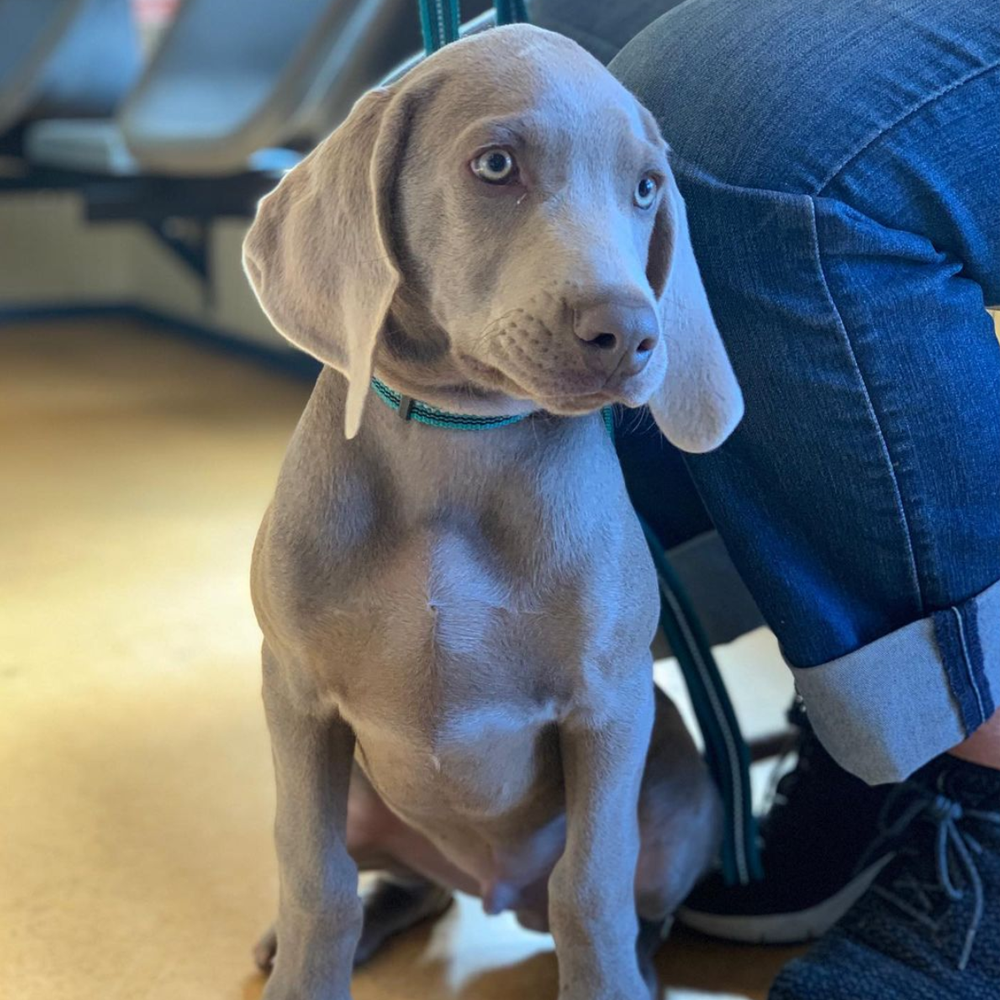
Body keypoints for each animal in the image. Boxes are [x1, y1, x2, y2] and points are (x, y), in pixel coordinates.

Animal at [242, 21, 744, 1000]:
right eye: (497, 164)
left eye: (645, 188)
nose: (632, 334)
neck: (459, 446)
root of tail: (492, 885)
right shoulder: (296, 697)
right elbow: (313, 877)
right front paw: (307, 968)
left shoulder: (612, 704)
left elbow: (591, 887)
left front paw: (607, 984)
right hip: (357, 792)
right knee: (404, 883)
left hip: (683, 802)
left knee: (632, 903)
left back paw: (642, 969)